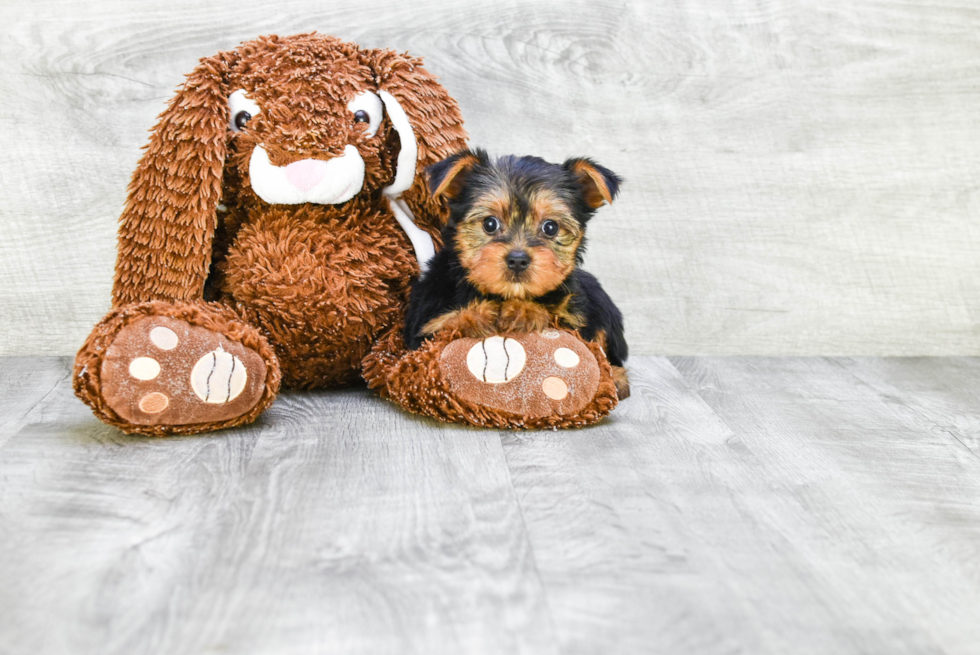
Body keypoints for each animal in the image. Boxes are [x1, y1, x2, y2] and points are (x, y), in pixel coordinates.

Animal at [404, 147, 628, 400]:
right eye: (489, 223)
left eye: (550, 227)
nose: (518, 259)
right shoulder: (422, 324)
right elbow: (440, 326)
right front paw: (477, 316)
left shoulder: (575, 319)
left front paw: (524, 311)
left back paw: (616, 377)